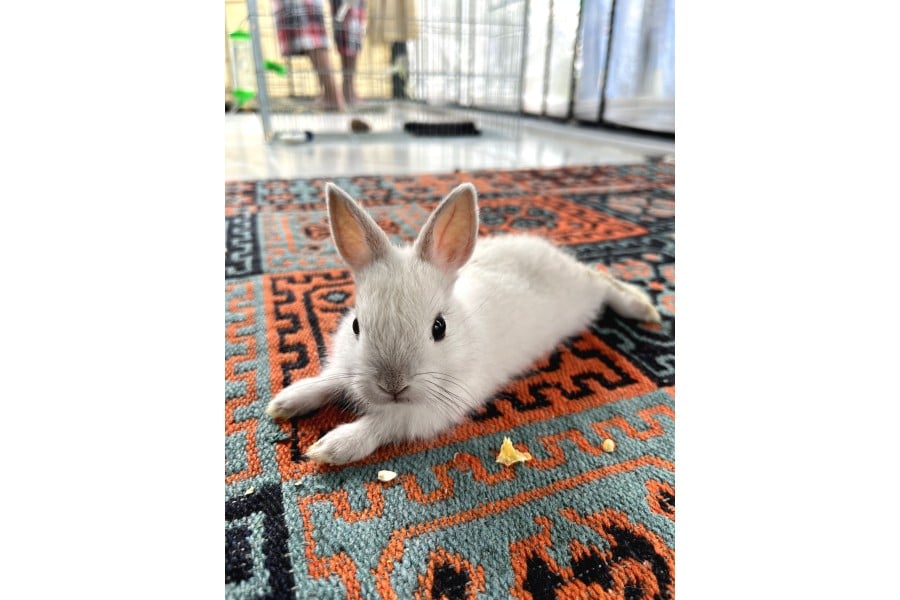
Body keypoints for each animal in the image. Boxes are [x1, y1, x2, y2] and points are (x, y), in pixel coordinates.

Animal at [266, 182, 661, 465]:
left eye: (439, 328)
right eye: (356, 326)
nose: (393, 386)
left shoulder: (427, 411)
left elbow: (382, 424)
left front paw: (329, 448)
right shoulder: (345, 368)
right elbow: (328, 381)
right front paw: (284, 403)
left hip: (585, 292)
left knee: (604, 281)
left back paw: (645, 309)